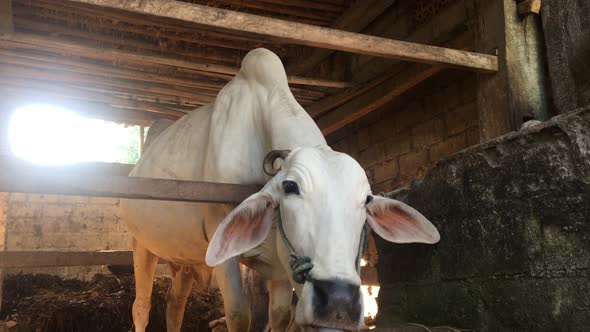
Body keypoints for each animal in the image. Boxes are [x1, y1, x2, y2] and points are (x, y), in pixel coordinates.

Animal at [123, 48, 440, 330]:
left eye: (366, 199)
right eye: (290, 186)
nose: (338, 301)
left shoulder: (280, 269)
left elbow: (279, 316)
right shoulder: (224, 251)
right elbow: (238, 316)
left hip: (184, 261)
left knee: (174, 305)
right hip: (140, 245)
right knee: (141, 307)